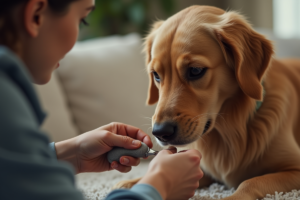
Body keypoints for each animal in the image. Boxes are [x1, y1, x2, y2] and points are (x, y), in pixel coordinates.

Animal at [113, 5, 300, 200]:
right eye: (156, 75)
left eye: (195, 70)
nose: (160, 132)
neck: (231, 130)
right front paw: (132, 182)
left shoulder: (295, 169)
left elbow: (250, 181)